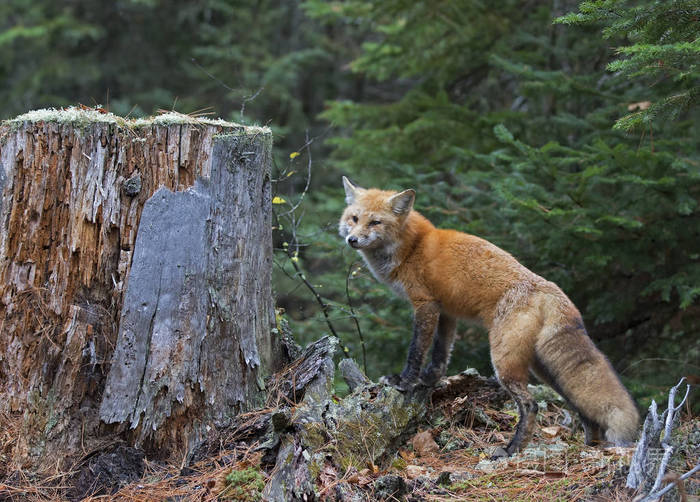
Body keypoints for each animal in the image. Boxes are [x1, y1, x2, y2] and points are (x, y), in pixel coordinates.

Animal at [340, 178, 640, 456]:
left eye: (375, 222)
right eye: (354, 218)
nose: (351, 240)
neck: (411, 246)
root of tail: (549, 289)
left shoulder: (425, 304)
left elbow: (416, 350)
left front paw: (404, 382)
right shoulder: (446, 310)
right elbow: (440, 354)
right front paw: (430, 380)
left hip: (504, 360)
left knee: (530, 405)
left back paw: (511, 449)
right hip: (544, 368)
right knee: (579, 405)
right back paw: (590, 445)